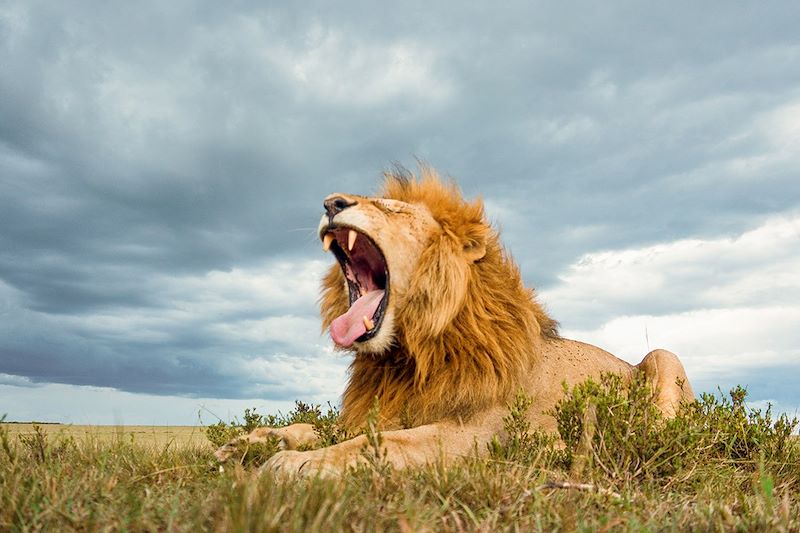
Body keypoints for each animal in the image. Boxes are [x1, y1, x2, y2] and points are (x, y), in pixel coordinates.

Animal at [214, 166, 692, 474]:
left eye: (392, 209)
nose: (332, 203)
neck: (404, 356)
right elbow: (314, 426)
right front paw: (245, 442)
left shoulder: (482, 433)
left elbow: (382, 442)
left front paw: (294, 462)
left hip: (662, 357)